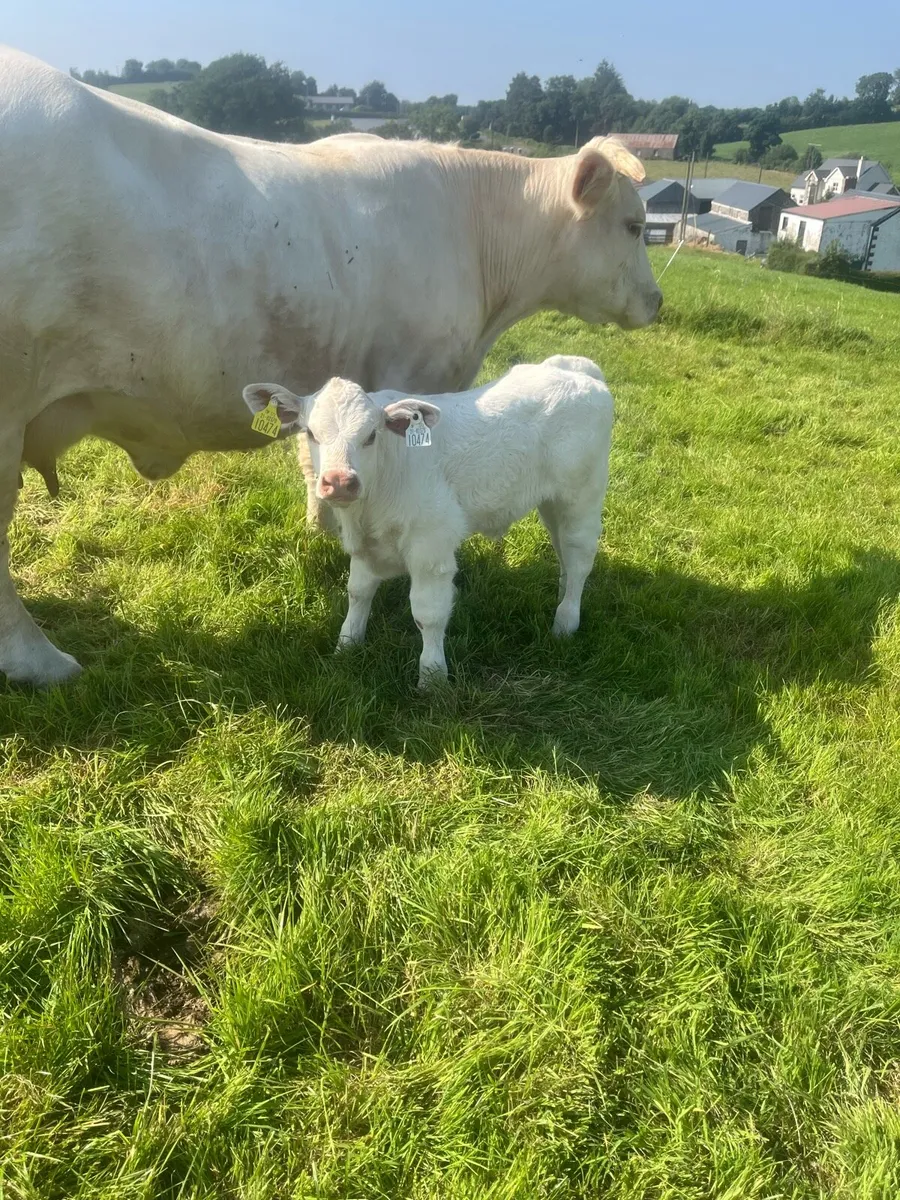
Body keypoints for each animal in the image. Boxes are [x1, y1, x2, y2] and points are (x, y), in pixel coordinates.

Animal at [243, 355, 614, 687]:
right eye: (310, 433)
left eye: (371, 435)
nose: (339, 481)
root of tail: (576, 369)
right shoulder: (364, 547)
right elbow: (358, 593)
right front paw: (346, 647)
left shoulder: (431, 545)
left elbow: (428, 614)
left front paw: (433, 678)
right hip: (551, 502)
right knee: (562, 549)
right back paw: (563, 595)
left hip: (583, 494)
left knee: (579, 555)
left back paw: (566, 621)